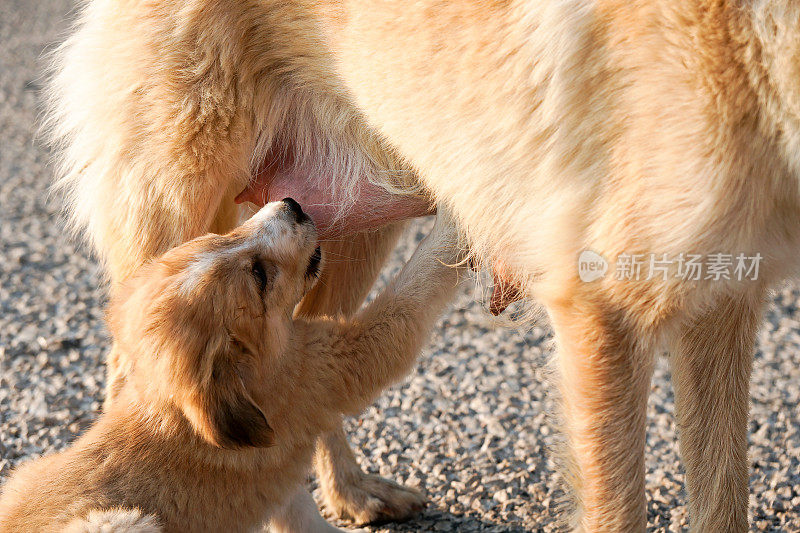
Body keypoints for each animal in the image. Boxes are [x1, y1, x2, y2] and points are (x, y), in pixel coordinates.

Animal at [0, 201, 462, 532]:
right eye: (258, 275)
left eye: (217, 236)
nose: (292, 203)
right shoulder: (330, 365)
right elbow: (414, 292)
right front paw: (456, 218)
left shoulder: (282, 483)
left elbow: (300, 514)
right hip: (120, 522)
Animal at [48, 0, 800, 528]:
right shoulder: (604, 316)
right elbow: (620, 507)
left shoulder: (722, 301)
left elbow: (722, 493)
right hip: (181, 218)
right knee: (138, 379)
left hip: (330, 227)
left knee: (312, 360)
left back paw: (350, 493)